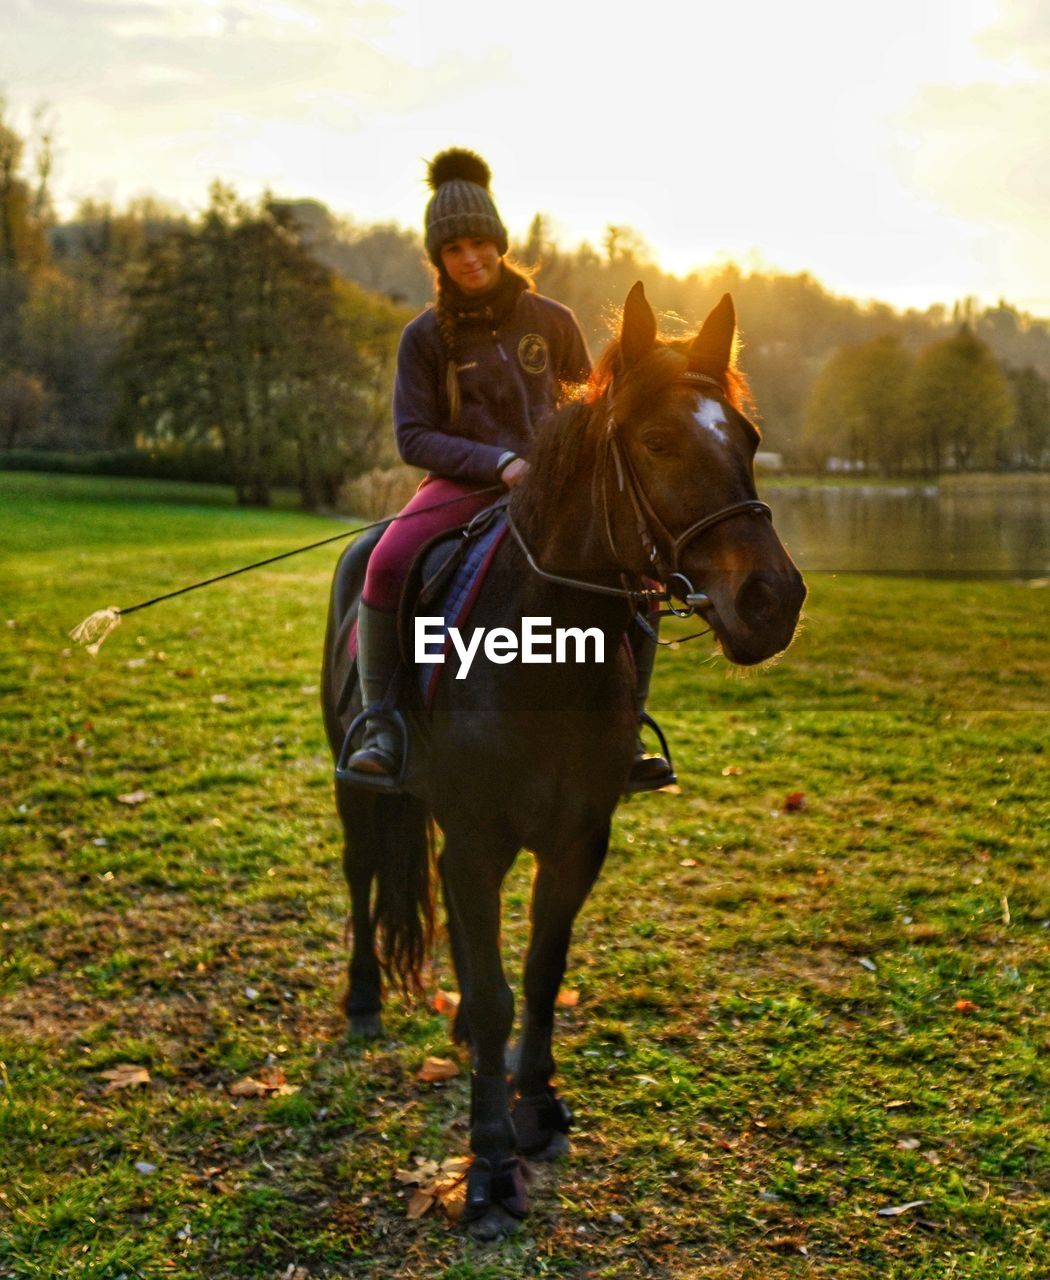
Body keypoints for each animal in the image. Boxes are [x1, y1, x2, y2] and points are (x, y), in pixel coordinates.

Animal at [320, 282, 804, 1239]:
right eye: (656, 442)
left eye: (748, 438)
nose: (774, 600)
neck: (543, 650)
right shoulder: (478, 838)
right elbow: (500, 990)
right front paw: (490, 1168)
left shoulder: (580, 837)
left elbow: (541, 975)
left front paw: (534, 1106)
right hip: (360, 791)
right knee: (362, 877)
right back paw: (363, 1000)